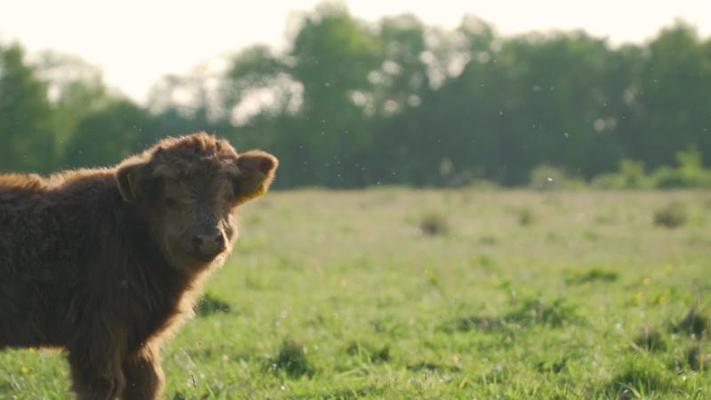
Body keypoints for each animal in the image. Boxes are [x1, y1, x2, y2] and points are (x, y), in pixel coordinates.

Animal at [0, 134, 278, 400]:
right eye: (170, 199)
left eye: (227, 196)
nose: (208, 239)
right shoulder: (95, 337)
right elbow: (104, 386)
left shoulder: (138, 343)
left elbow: (146, 384)